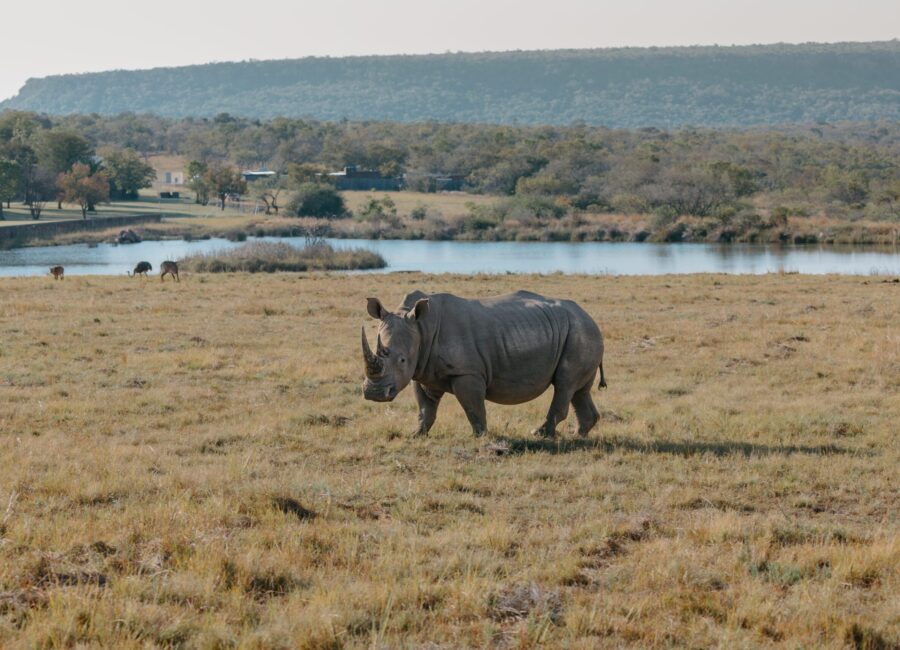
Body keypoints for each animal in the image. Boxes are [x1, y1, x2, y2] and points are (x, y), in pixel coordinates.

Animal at [361, 290, 606, 438]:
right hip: (579, 333)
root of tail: (590, 317)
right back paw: (578, 437)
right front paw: (416, 435)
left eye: (402, 360)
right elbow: (425, 408)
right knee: (578, 390)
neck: (421, 328)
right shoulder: (422, 372)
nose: (374, 393)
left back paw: (540, 434)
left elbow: (473, 407)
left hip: (580, 332)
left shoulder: (467, 372)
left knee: (564, 384)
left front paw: (480, 437)